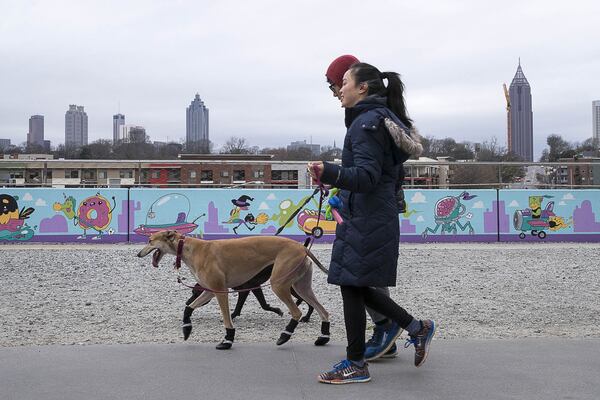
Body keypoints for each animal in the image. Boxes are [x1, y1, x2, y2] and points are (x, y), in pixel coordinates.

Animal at [137, 231, 328, 350]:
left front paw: (227, 340)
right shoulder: (208, 291)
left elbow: (227, 317)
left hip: (280, 285)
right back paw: (323, 337)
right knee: (323, 311)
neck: (190, 248)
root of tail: (302, 247)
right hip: (301, 287)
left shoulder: (220, 291)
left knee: (297, 312)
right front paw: (186, 329)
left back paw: (285, 335)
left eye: (150, 240)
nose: (138, 254)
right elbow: (188, 307)